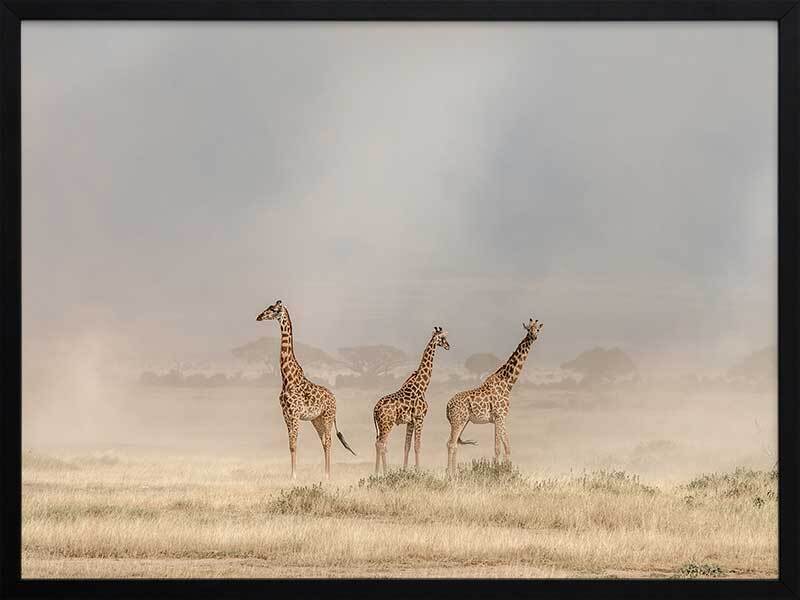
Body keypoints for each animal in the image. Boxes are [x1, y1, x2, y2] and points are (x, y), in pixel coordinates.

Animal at [256, 300, 355, 479]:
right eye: (268, 307)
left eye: (273, 309)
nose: (259, 317)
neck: (287, 378)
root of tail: (334, 398)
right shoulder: (286, 415)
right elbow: (291, 444)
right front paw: (292, 475)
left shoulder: (295, 414)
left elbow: (294, 444)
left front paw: (293, 476)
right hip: (316, 420)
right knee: (323, 442)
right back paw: (325, 474)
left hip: (328, 417)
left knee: (329, 441)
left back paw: (327, 475)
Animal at [373, 326, 450, 474]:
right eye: (443, 337)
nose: (448, 346)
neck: (422, 386)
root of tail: (375, 410)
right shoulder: (420, 417)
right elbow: (417, 445)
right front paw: (418, 471)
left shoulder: (410, 421)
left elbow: (407, 445)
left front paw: (405, 470)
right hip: (387, 423)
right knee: (381, 444)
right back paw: (384, 472)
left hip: (381, 425)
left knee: (378, 443)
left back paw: (376, 472)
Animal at [446, 317, 543, 474]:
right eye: (528, 329)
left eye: (537, 329)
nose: (533, 337)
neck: (507, 384)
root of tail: (447, 406)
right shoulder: (499, 416)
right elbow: (497, 448)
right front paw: (496, 472)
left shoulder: (501, 418)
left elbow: (507, 447)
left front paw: (507, 471)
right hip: (458, 421)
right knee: (451, 444)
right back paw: (451, 475)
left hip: (462, 421)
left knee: (452, 443)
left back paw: (454, 473)